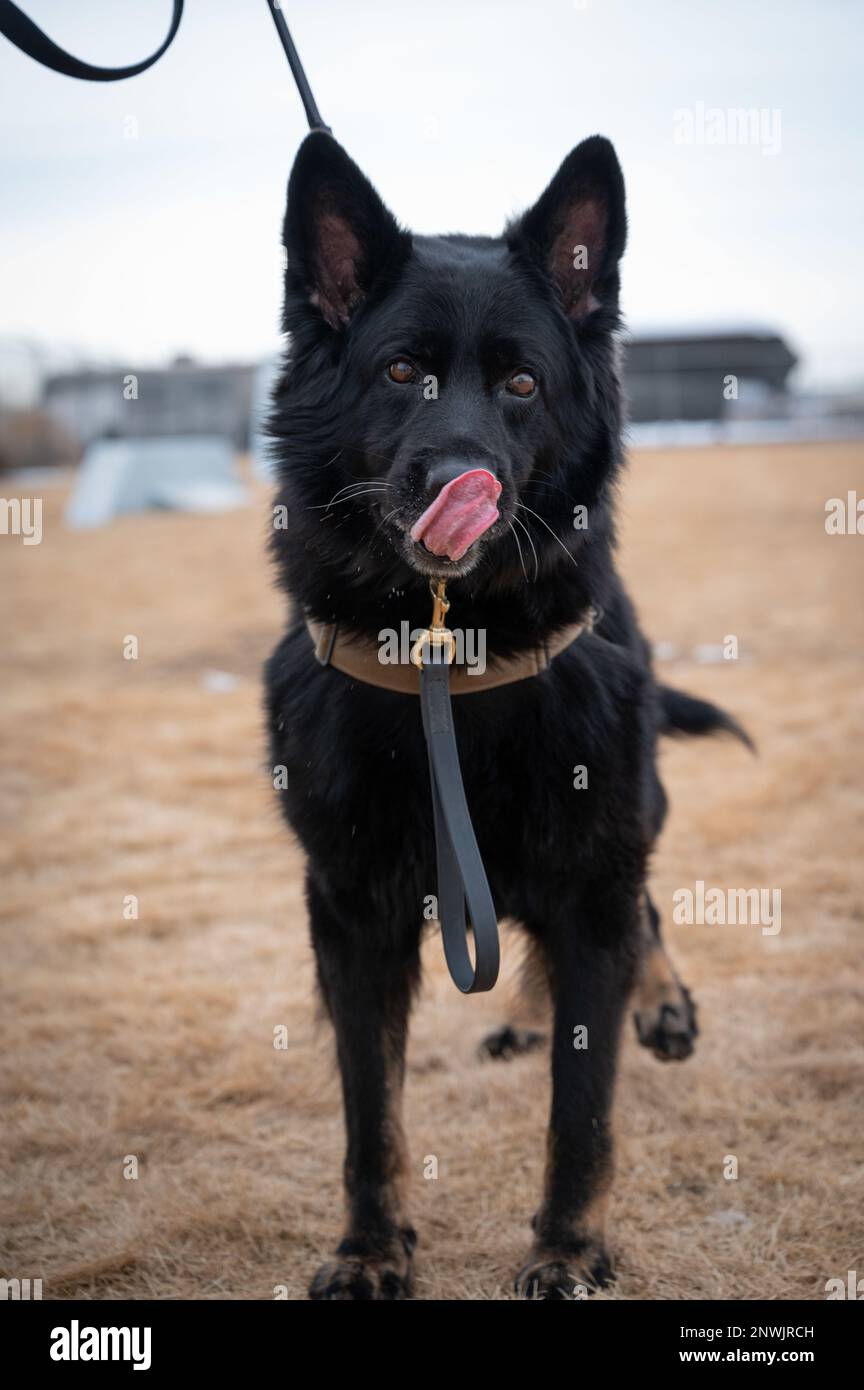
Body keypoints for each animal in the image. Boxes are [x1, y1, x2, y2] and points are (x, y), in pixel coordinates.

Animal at [265, 125, 750, 1295]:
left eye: (523, 383)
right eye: (402, 371)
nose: (462, 479)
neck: (452, 644)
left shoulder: (591, 877)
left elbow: (584, 1110)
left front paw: (569, 1246)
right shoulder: (349, 913)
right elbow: (370, 1112)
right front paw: (370, 1247)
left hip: (627, 813)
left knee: (643, 911)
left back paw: (658, 1001)